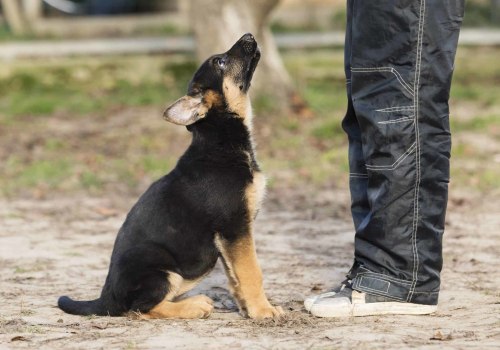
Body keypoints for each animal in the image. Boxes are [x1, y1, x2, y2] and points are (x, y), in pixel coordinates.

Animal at [57, 33, 284, 320]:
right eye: (220, 62)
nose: (249, 36)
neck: (220, 140)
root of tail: (107, 297)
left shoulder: (230, 237)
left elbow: (236, 276)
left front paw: (246, 309)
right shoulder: (235, 227)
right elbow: (252, 272)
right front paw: (263, 310)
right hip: (161, 268)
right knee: (141, 308)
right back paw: (195, 305)